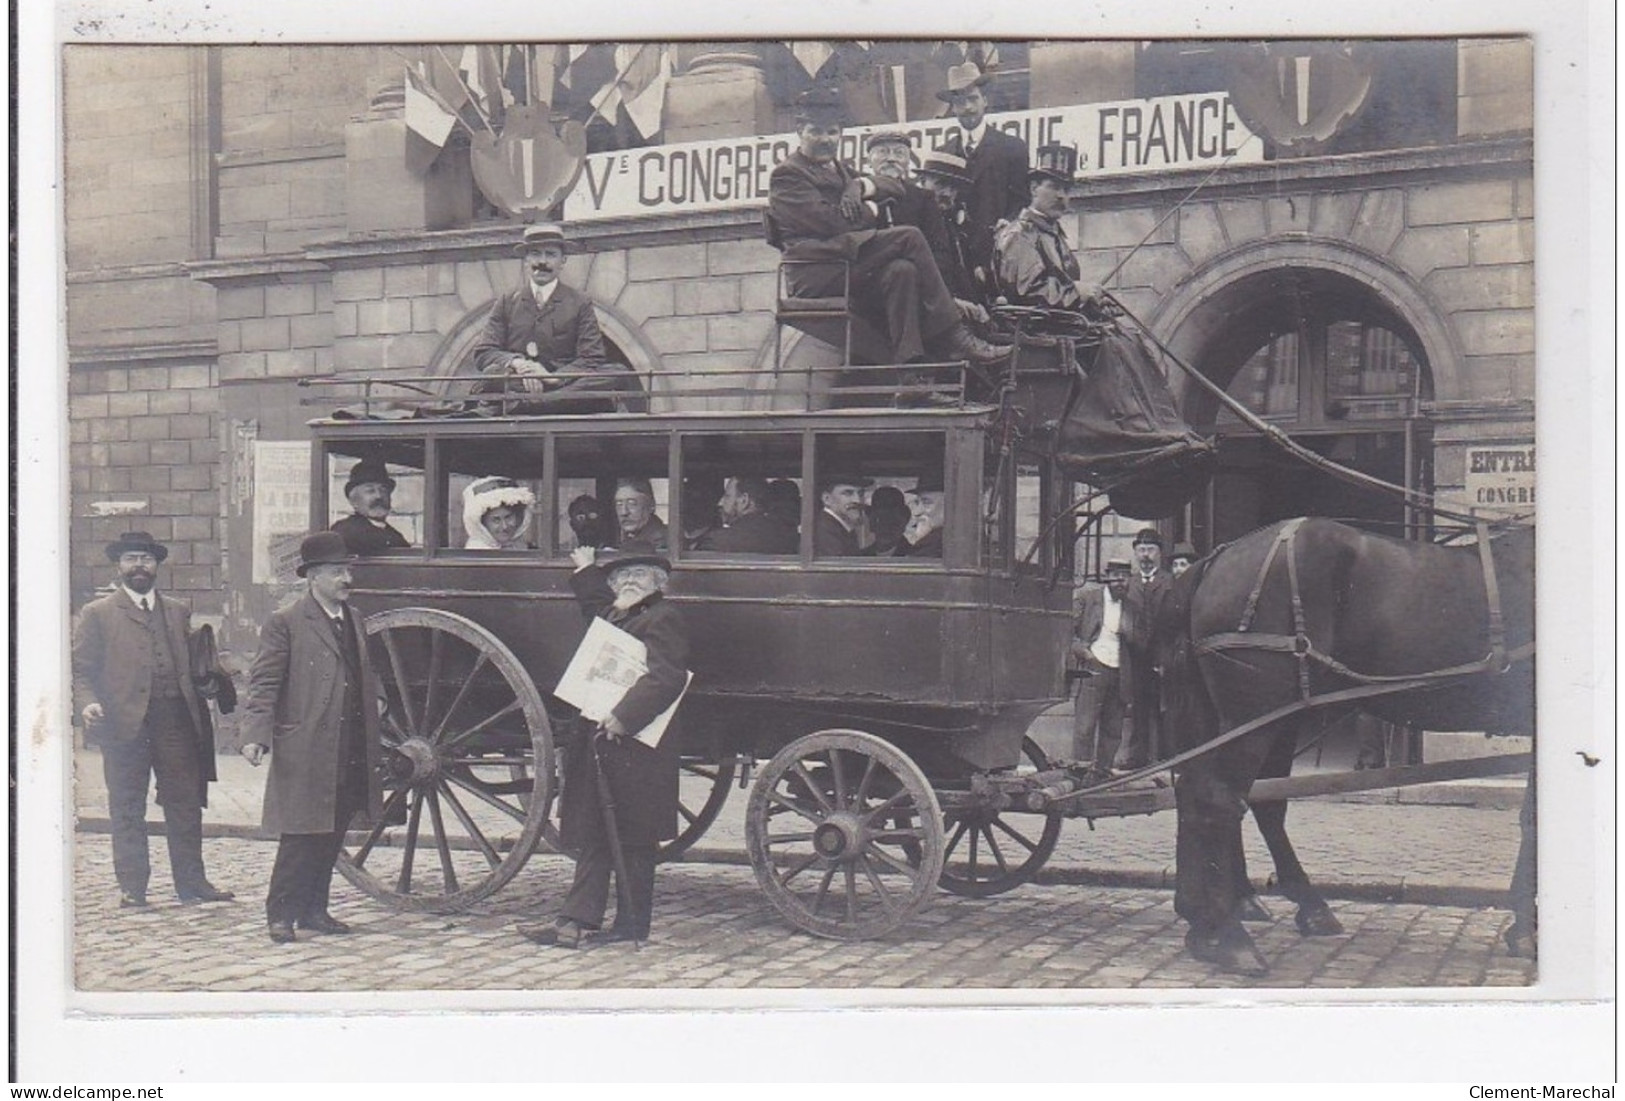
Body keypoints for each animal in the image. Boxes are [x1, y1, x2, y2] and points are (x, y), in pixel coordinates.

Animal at [1157, 516, 1534, 974]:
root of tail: (1220, 558)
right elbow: (1533, 820)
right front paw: (1527, 928)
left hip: (1265, 718)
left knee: (1225, 798)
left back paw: (1225, 916)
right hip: (1254, 717)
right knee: (1217, 799)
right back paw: (1228, 936)